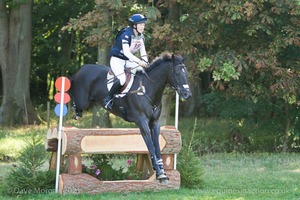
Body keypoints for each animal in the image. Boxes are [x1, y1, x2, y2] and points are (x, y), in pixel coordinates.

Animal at [69, 52, 192, 182]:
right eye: (177, 73)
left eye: (186, 73)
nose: (187, 94)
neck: (148, 89)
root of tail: (83, 68)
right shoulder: (142, 122)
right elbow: (150, 146)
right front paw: (159, 173)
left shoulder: (155, 123)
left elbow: (157, 147)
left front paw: (161, 172)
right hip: (83, 101)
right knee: (75, 99)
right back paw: (75, 111)